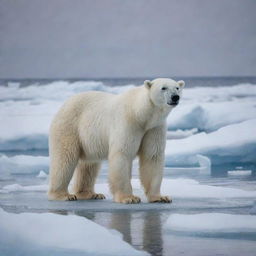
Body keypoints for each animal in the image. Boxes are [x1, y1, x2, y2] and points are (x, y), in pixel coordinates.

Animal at [47, 78, 184, 204]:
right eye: (163, 88)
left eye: (177, 88)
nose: (175, 97)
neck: (140, 114)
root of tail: (64, 105)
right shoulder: (128, 122)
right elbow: (122, 154)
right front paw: (129, 198)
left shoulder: (154, 128)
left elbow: (152, 156)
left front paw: (160, 197)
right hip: (70, 126)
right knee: (65, 159)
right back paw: (63, 195)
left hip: (89, 139)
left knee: (89, 165)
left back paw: (90, 194)